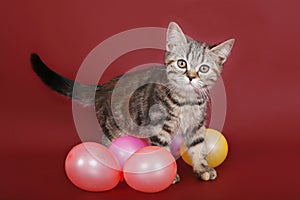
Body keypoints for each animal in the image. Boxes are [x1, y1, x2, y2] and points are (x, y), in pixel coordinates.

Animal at [31, 22, 236, 183]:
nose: (191, 77)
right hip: (114, 127)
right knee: (108, 142)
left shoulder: (197, 125)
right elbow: (162, 149)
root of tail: (103, 86)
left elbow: (198, 147)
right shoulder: (158, 127)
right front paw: (167, 174)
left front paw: (202, 169)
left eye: (203, 68)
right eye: (181, 63)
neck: (187, 101)